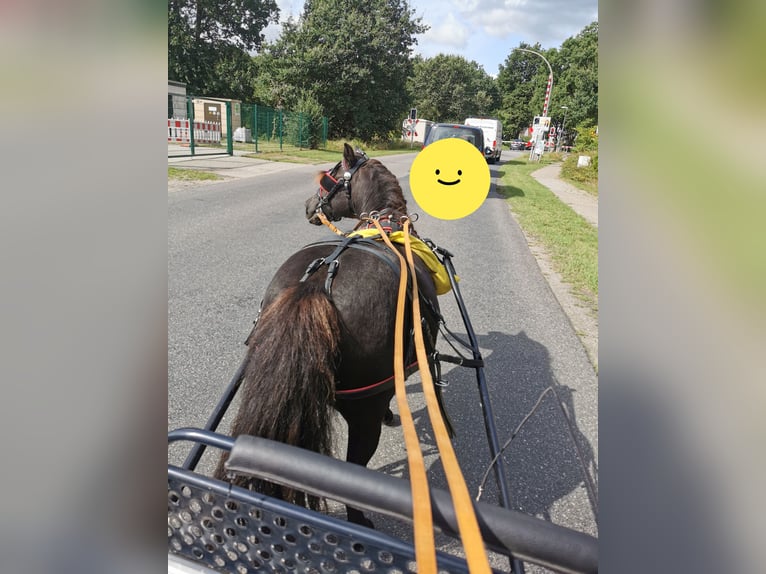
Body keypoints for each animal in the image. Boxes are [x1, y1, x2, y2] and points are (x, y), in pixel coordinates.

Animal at [216, 143, 444, 528]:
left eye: (330, 178)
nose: (309, 205)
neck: (384, 223)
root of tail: (313, 286)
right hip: (363, 411)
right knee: (355, 469)